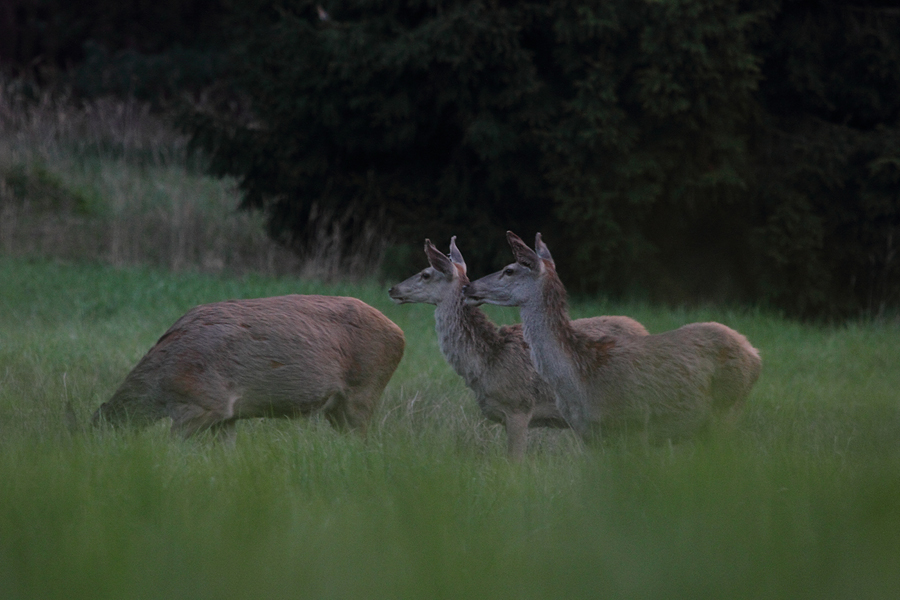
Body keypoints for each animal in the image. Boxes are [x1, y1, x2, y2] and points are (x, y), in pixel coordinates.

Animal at [464, 232, 768, 442]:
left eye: (509, 270)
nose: (469, 286)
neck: (581, 378)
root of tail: (755, 354)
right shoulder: (588, 435)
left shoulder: (633, 425)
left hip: (728, 409)